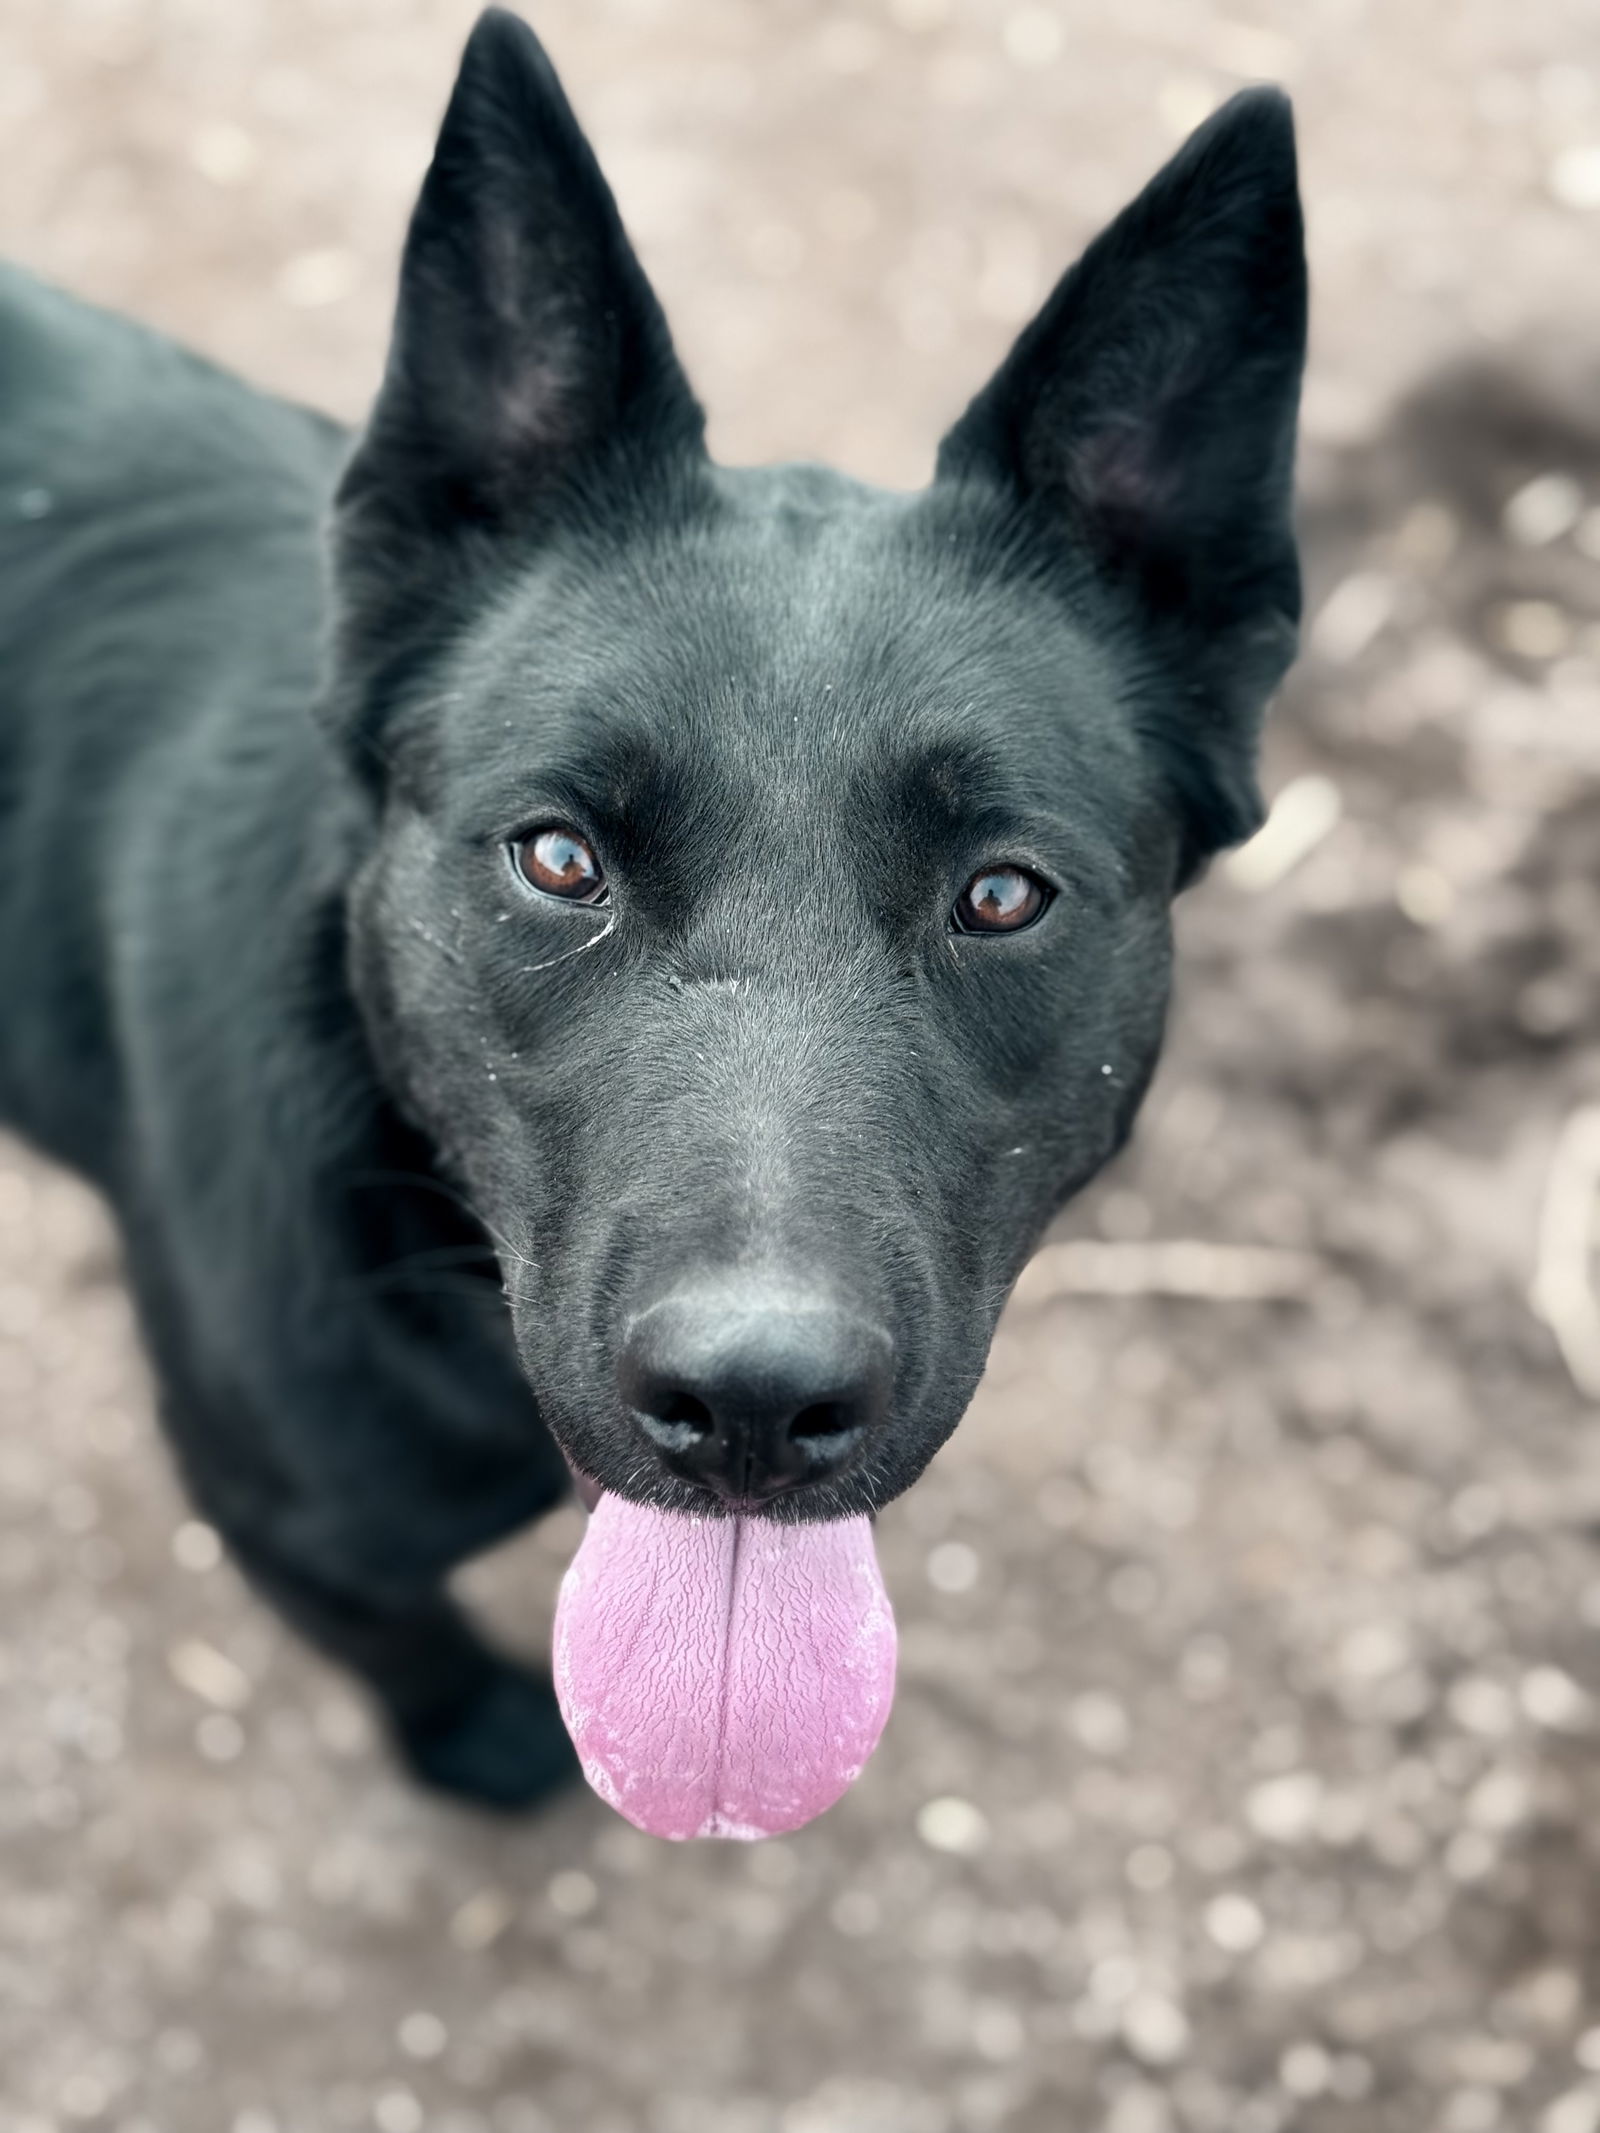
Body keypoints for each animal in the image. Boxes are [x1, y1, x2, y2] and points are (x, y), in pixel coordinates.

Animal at [0, 16, 1305, 1808]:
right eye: (559, 860)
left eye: (1002, 893)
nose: (754, 1404)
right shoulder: (287, 1519)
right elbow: (397, 1639)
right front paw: (480, 1737)